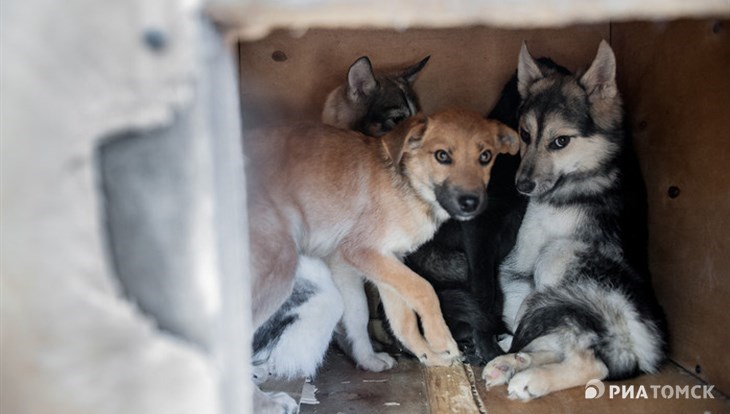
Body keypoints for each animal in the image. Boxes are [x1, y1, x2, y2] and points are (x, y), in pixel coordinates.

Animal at [246, 109, 516, 410]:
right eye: (442, 156)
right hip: (279, 267)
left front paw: (403, 357)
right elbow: (424, 289)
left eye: (486, 156)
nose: (471, 203)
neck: (409, 187)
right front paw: (440, 340)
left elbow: (380, 316)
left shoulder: (374, 262)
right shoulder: (362, 252)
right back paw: (264, 402)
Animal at [484, 40, 664, 400]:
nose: (521, 186)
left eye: (560, 141)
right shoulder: (518, 266)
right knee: (556, 338)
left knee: (593, 363)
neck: (588, 171)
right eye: (524, 134)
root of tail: (649, 352)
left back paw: (531, 378)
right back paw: (511, 361)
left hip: (559, 257)